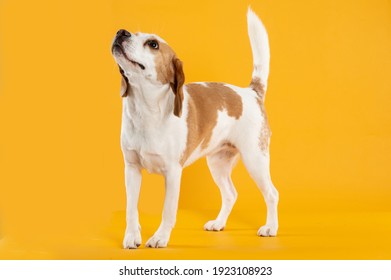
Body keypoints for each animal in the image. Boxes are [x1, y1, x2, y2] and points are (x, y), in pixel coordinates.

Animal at [112, 7, 280, 248]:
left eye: (153, 44)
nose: (121, 32)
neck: (146, 110)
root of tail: (251, 92)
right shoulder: (132, 169)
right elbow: (131, 210)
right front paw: (132, 237)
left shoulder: (173, 173)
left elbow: (168, 211)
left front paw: (160, 237)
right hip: (218, 163)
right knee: (230, 194)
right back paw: (219, 223)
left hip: (255, 159)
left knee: (272, 194)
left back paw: (271, 228)